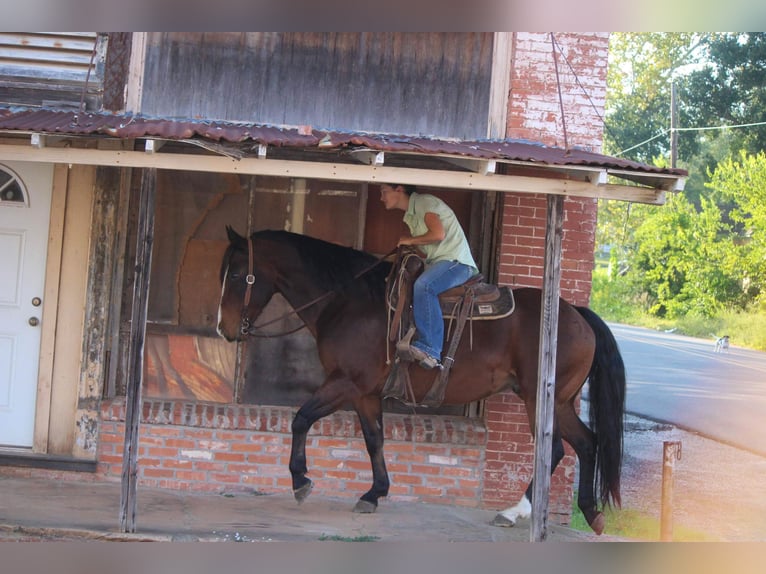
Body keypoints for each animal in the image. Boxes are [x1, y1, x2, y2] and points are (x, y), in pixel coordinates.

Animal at [219, 228, 628, 536]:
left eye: (237, 275)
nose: (224, 329)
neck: (348, 301)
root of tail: (578, 314)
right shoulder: (366, 393)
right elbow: (374, 439)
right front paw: (374, 493)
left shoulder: (347, 383)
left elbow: (301, 418)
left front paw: (300, 481)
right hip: (559, 401)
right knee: (585, 443)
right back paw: (589, 512)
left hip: (540, 400)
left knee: (556, 450)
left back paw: (516, 512)